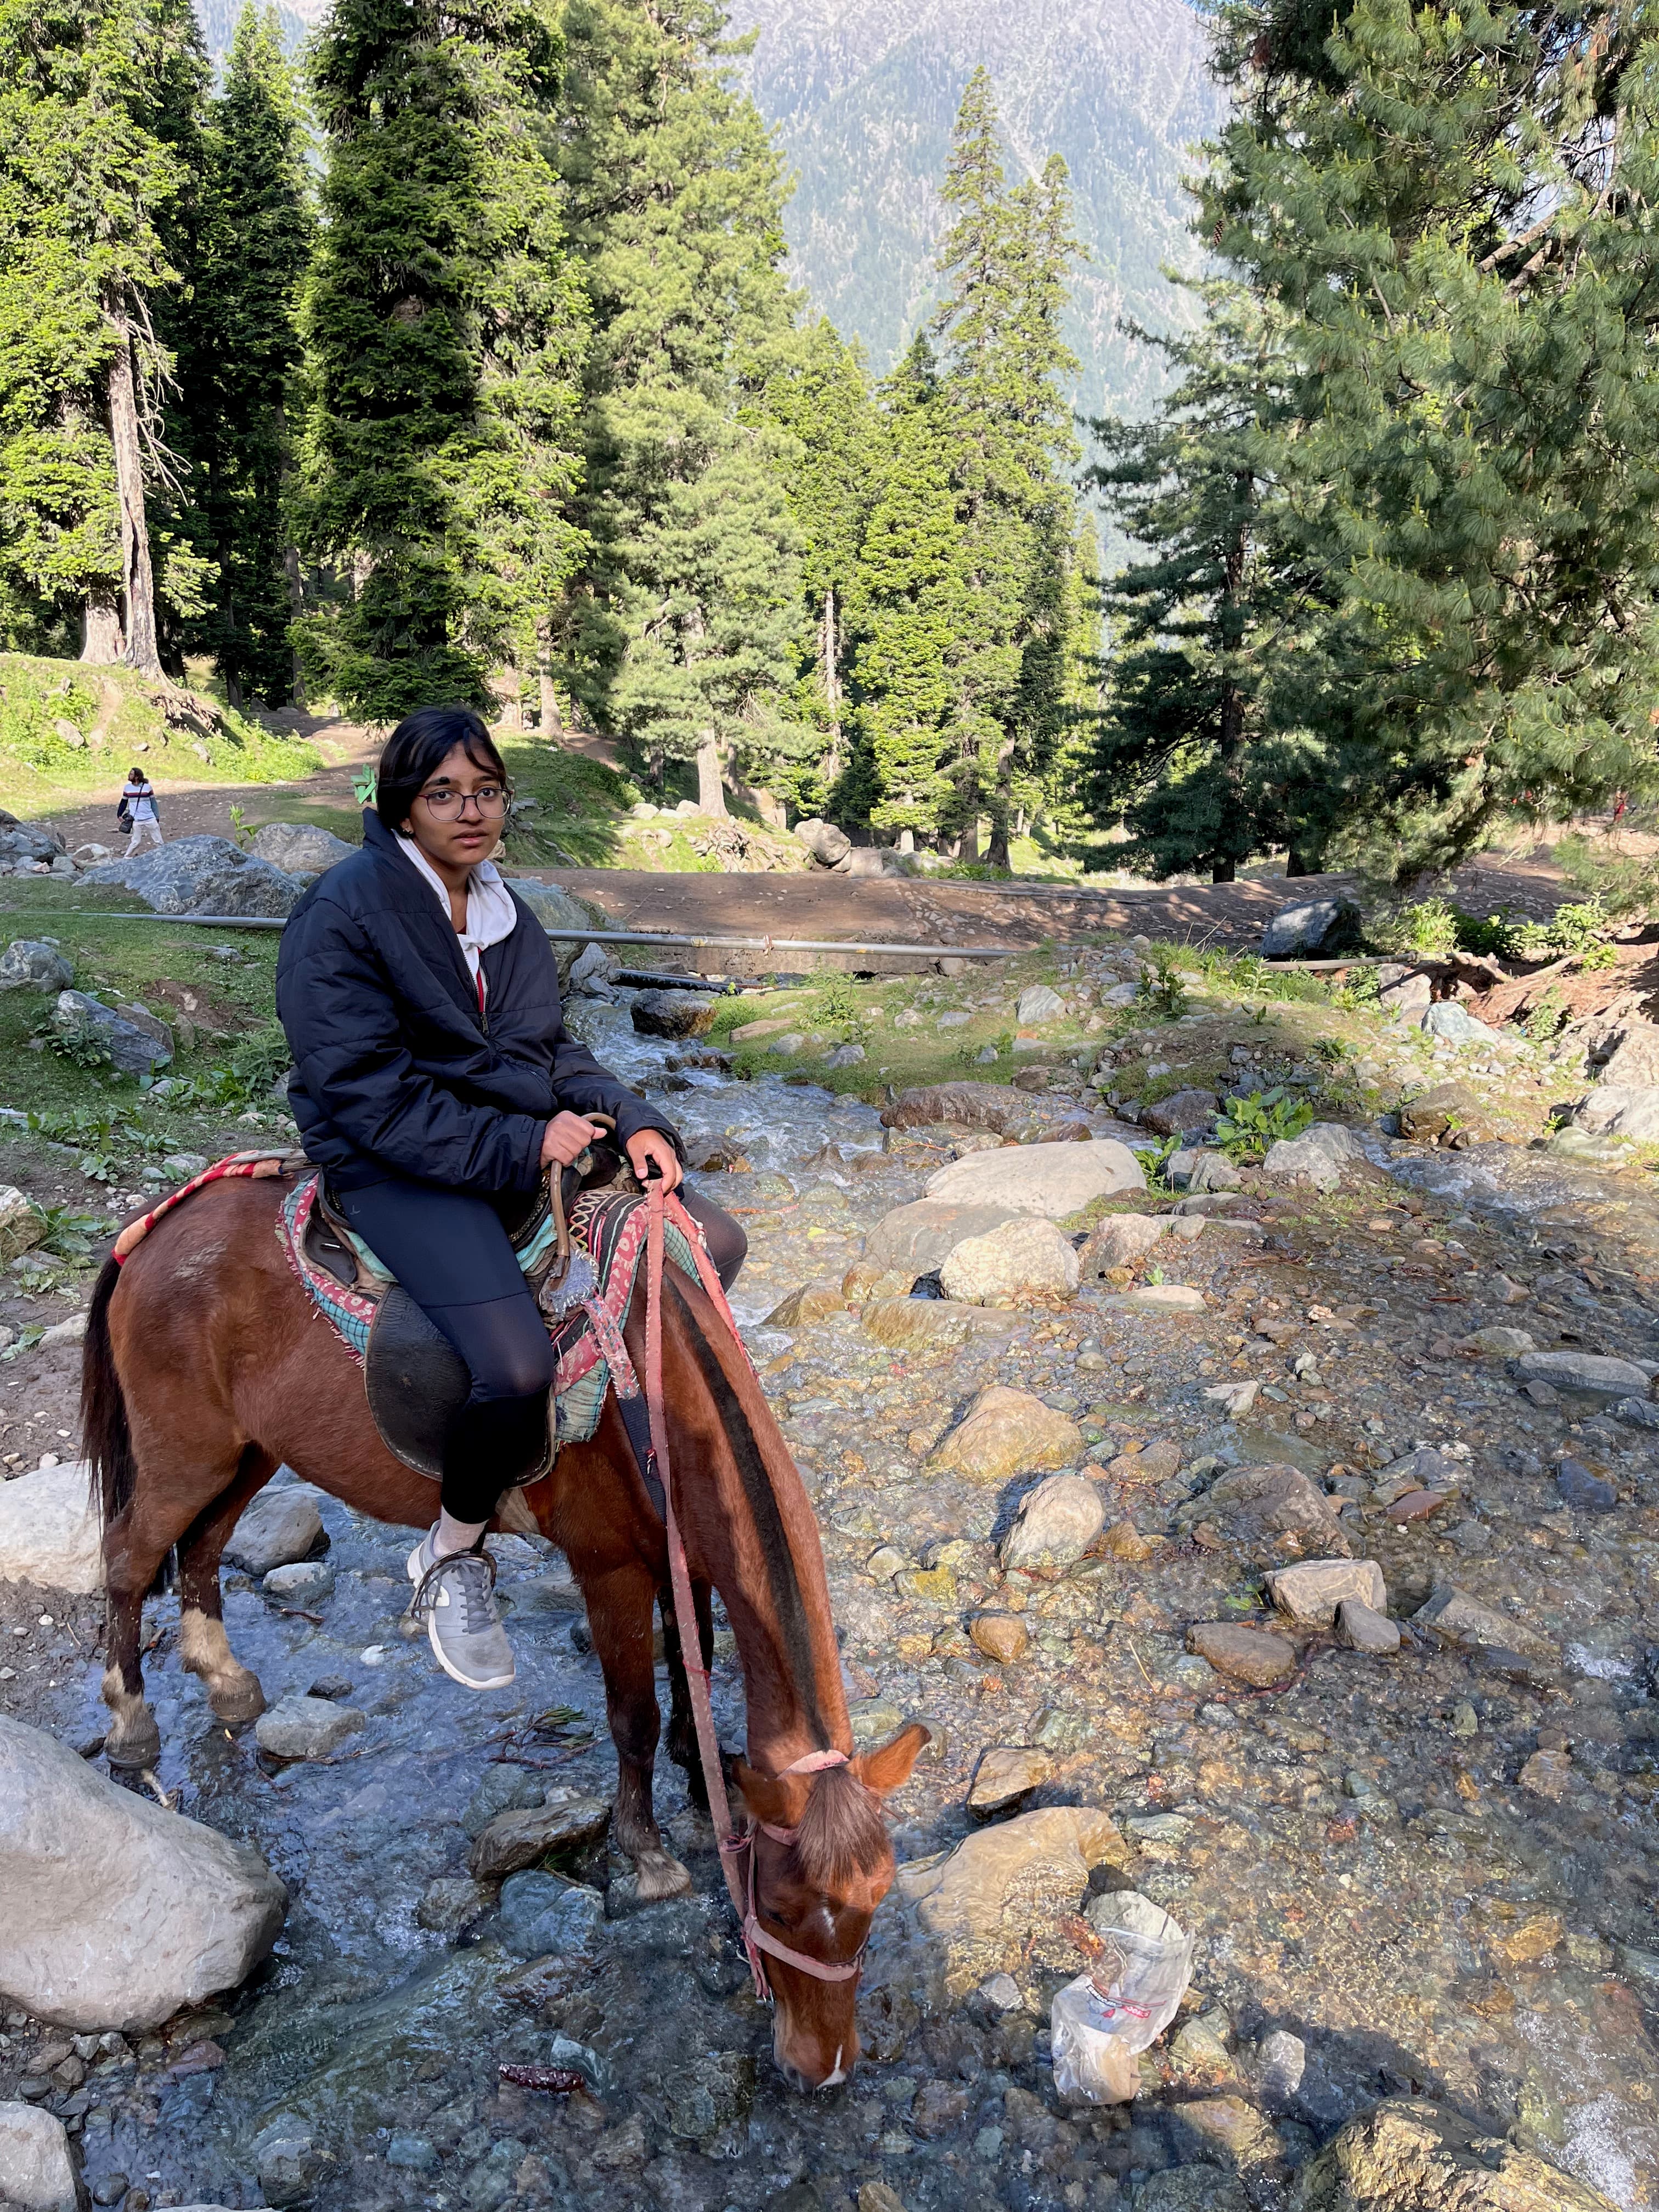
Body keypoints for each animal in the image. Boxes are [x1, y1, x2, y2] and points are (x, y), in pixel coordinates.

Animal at [78, 1167, 926, 2090]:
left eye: (877, 1900)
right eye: (779, 1905)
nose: (824, 2069)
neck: (659, 1398)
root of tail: (151, 1233)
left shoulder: (686, 1560)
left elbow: (696, 1682)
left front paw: (710, 1798)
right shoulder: (611, 1570)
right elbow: (636, 1716)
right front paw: (649, 1856)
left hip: (249, 1450)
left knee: (200, 1551)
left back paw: (228, 1685)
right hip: (183, 1452)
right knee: (128, 1562)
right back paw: (130, 1725)